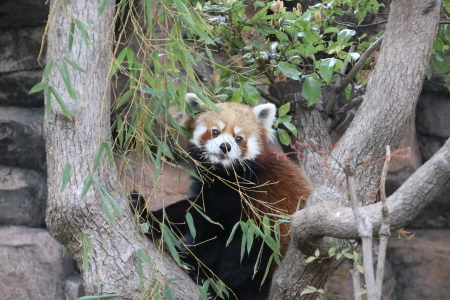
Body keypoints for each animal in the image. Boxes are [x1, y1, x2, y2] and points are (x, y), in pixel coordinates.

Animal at [132, 92, 312, 298]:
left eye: (239, 138)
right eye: (215, 132)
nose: (225, 146)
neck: (223, 170)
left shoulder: (242, 188)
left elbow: (200, 212)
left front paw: (146, 214)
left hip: (266, 239)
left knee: (245, 256)